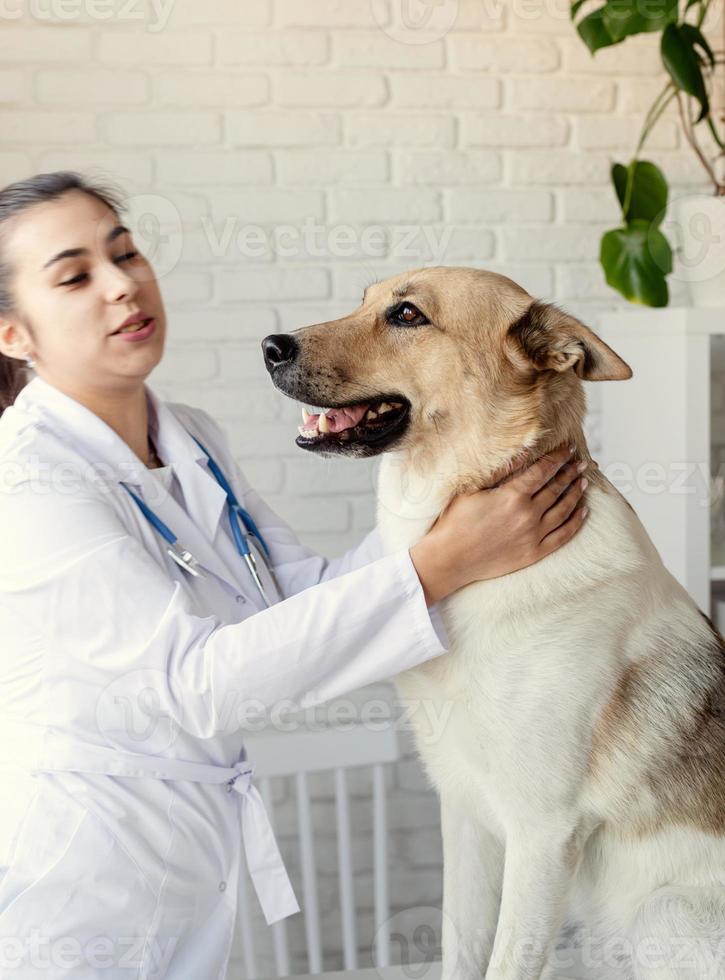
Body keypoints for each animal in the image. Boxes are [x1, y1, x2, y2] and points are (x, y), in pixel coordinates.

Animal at [262, 268, 724, 980]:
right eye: (366, 299)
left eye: (406, 314)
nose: (269, 347)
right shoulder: (466, 816)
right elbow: (463, 953)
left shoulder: (542, 834)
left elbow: (506, 963)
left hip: (663, 914)